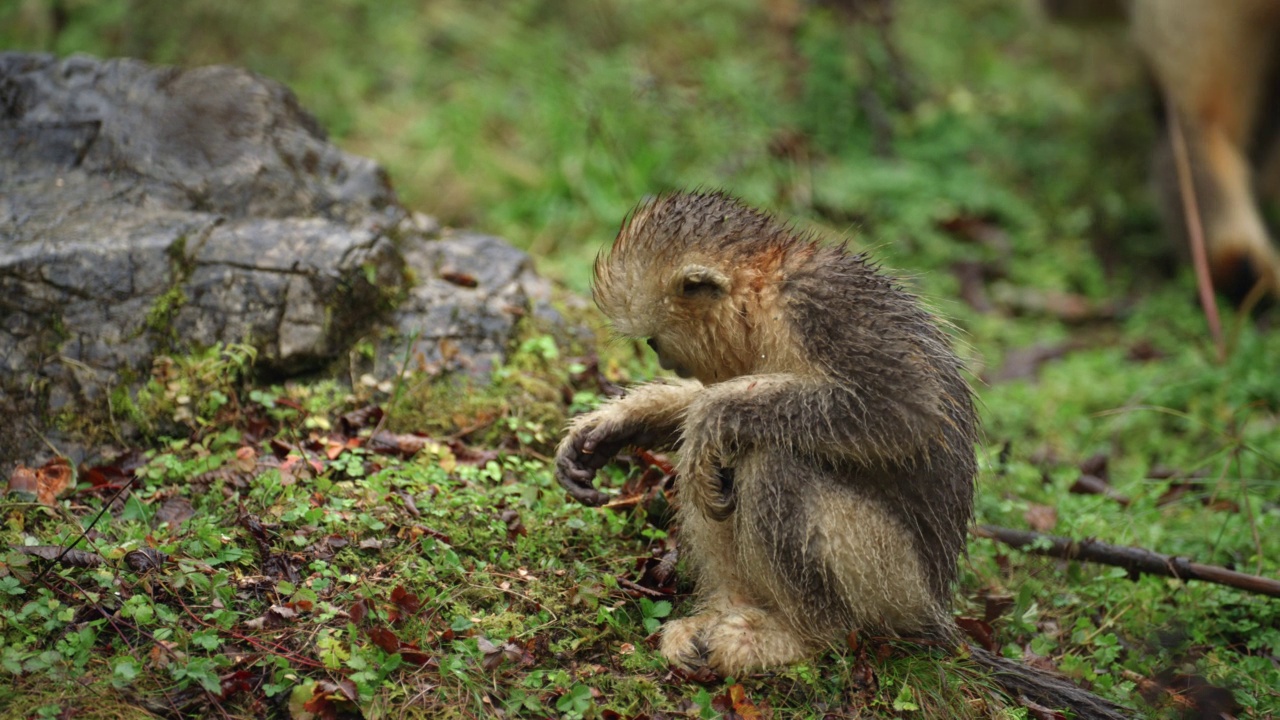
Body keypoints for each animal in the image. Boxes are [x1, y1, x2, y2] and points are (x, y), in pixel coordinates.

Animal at [552, 190, 977, 671]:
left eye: (654, 342)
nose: (663, 359)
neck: (764, 294)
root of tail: (931, 605)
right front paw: (617, 423)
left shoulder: (822, 305)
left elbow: (904, 410)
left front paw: (711, 412)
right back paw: (725, 607)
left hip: (889, 582)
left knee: (771, 459)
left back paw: (802, 635)